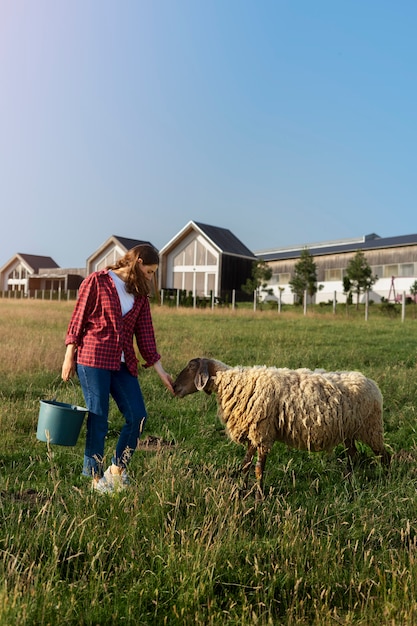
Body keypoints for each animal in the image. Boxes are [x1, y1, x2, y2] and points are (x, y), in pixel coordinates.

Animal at [172, 358, 390, 494]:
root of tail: (371, 383)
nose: (174, 387)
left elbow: (259, 468)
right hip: (349, 431)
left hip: (371, 428)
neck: (232, 382)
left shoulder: (263, 432)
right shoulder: (254, 432)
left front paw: (259, 496)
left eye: (191, 367)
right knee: (353, 456)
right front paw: (241, 490)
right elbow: (245, 465)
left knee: (384, 455)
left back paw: (385, 479)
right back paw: (349, 482)